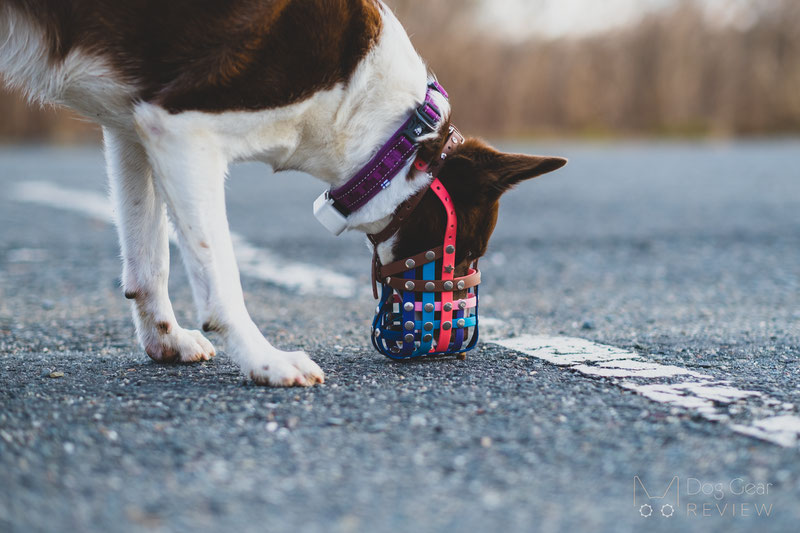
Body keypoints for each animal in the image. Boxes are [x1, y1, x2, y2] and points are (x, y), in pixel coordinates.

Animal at [0, 2, 564, 388]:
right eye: (469, 250)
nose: (457, 343)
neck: (391, 134)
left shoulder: (132, 125)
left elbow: (148, 258)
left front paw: (166, 339)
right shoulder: (180, 129)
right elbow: (220, 276)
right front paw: (265, 361)